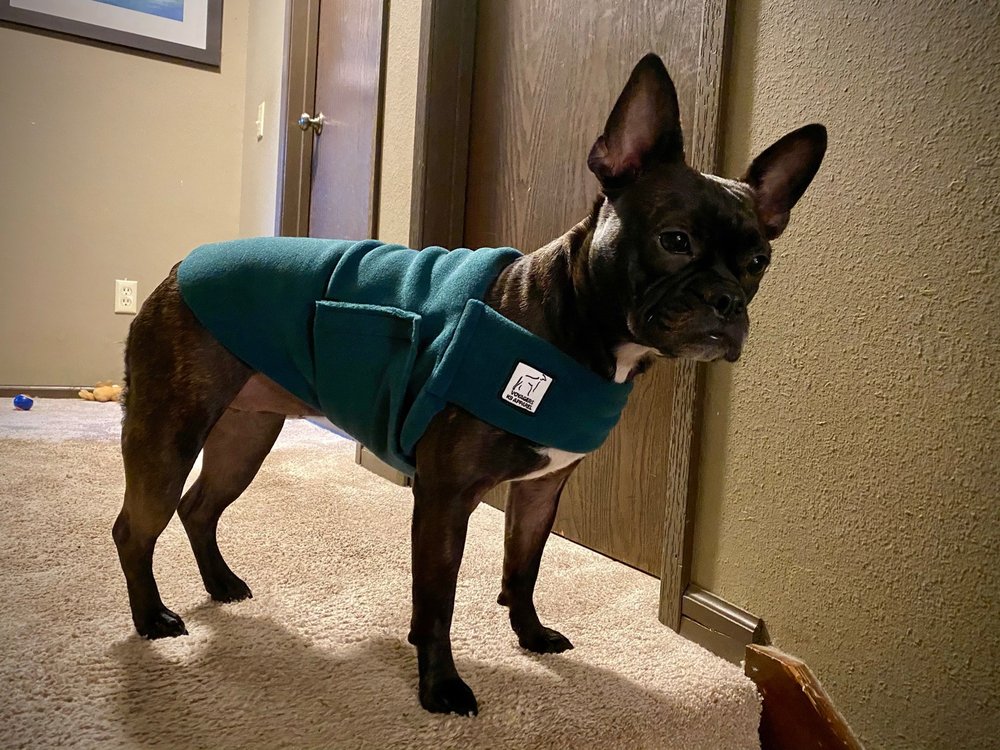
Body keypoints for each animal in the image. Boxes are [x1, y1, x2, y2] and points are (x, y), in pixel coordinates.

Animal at [113, 53, 826, 717]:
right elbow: (438, 600)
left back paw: (220, 586)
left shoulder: (540, 492)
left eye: (758, 262)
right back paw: (152, 620)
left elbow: (523, 568)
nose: (727, 300)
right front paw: (441, 686)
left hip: (247, 433)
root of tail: (183, 266)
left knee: (200, 506)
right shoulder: (445, 496)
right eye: (673, 240)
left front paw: (530, 637)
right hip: (171, 428)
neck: (567, 324)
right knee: (136, 527)